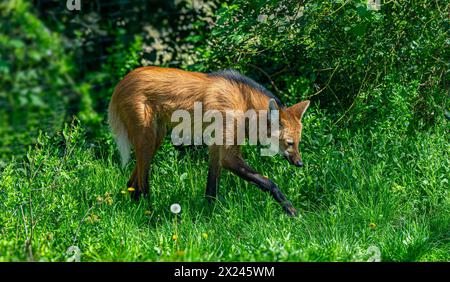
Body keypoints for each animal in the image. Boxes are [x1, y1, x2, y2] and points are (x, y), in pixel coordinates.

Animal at [108, 66, 310, 216]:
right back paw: (150, 212)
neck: (244, 103)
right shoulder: (228, 152)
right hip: (147, 138)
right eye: (289, 143)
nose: (300, 163)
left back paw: (139, 207)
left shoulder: (216, 144)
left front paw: (210, 213)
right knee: (141, 182)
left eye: (298, 142)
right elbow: (269, 182)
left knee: (131, 183)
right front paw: (291, 211)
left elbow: (212, 185)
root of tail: (121, 82)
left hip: (156, 138)